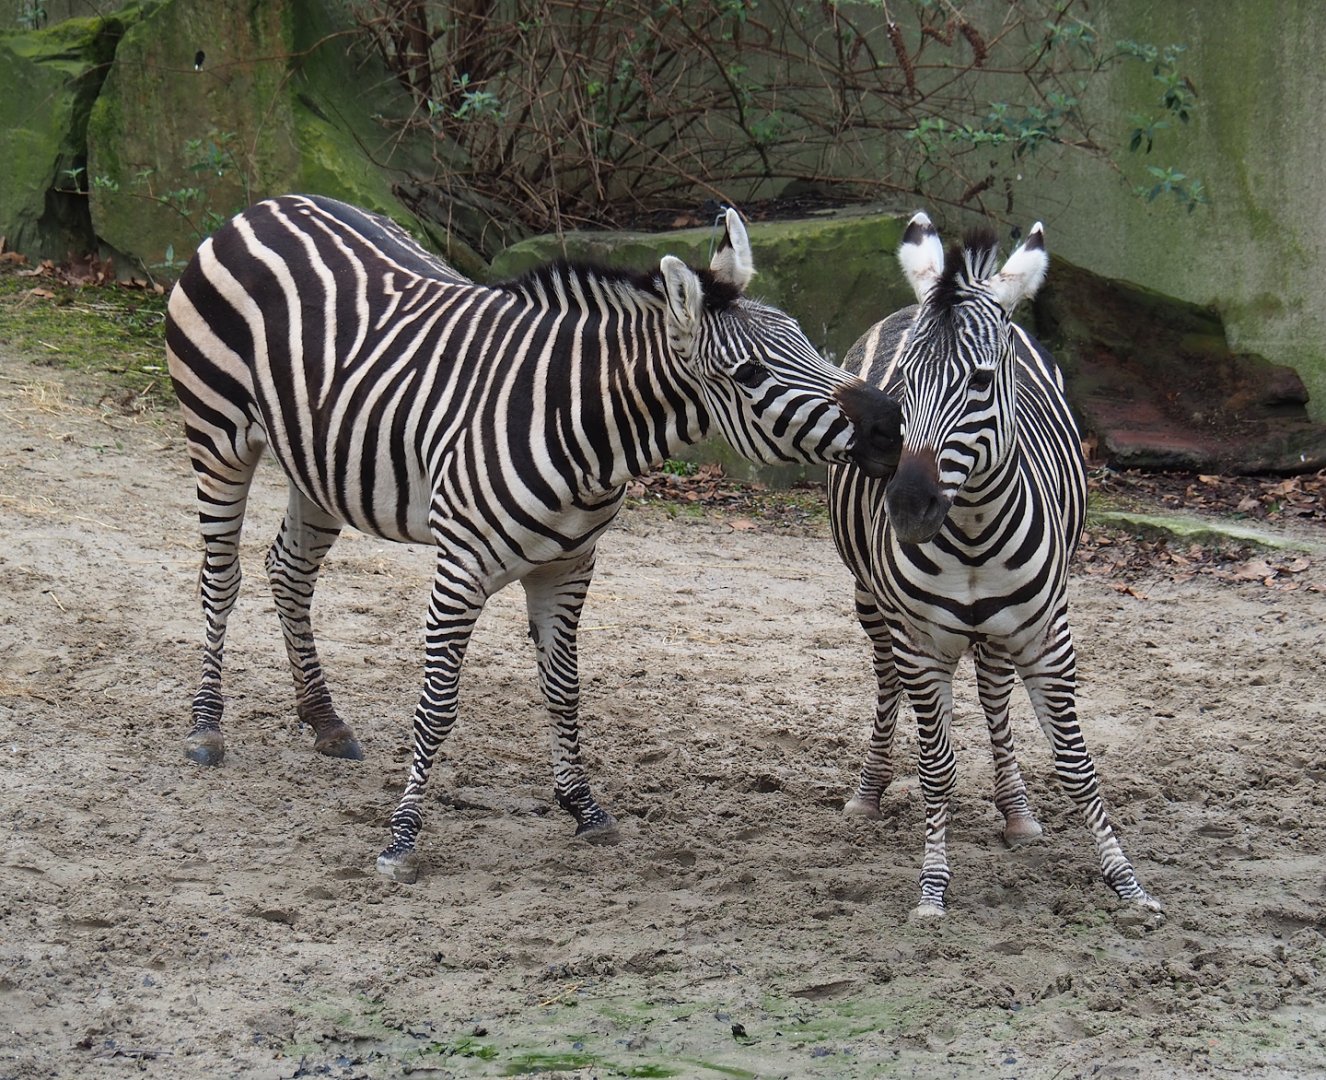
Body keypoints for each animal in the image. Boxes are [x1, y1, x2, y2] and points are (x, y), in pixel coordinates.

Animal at [165, 193, 902, 884]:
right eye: (751, 374)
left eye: (803, 337)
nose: (892, 425)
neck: (583, 427)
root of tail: (268, 206)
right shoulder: (460, 568)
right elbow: (437, 706)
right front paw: (401, 839)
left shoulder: (569, 566)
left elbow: (564, 688)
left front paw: (584, 808)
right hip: (218, 433)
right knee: (221, 576)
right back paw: (206, 728)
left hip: (319, 463)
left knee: (288, 571)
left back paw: (324, 720)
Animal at [828, 212, 1160, 919]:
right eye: (902, 385)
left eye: (981, 382)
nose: (908, 506)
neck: (975, 531)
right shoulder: (920, 643)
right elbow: (937, 767)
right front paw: (932, 888)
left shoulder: (1049, 637)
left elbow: (1076, 764)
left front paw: (1128, 884)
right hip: (872, 601)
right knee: (886, 681)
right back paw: (869, 791)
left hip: (1003, 630)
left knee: (992, 690)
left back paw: (1016, 812)